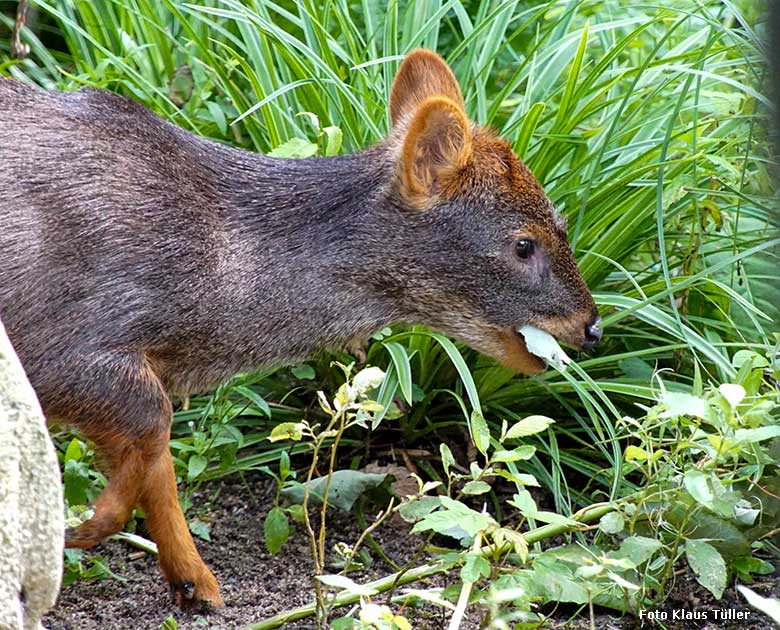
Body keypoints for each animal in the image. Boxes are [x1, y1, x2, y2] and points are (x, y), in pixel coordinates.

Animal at [0, 51, 604, 608]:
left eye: (560, 225)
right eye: (523, 244)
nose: (592, 325)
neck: (220, 269)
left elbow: (152, 461)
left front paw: (195, 583)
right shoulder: (63, 346)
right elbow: (150, 432)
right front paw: (79, 532)